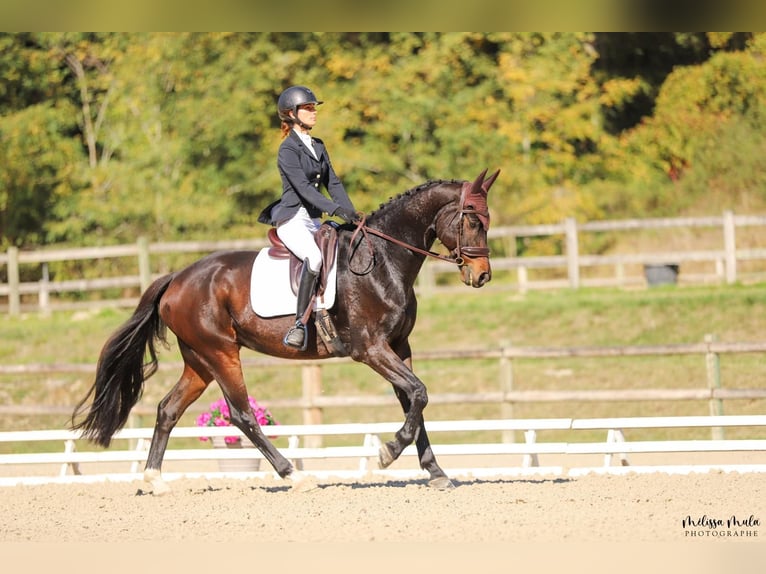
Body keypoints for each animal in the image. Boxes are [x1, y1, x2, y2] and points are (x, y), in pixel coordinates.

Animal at [71, 168, 500, 494]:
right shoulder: (371, 349)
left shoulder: (399, 345)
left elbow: (414, 400)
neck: (383, 260)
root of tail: (177, 278)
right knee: (242, 414)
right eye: (472, 220)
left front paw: (437, 473)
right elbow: (419, 393)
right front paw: (387, 452)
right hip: (221, 353)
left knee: (168, 409)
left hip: (199, 360)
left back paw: (155, 480)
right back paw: (294, 475)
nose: (482, 276)